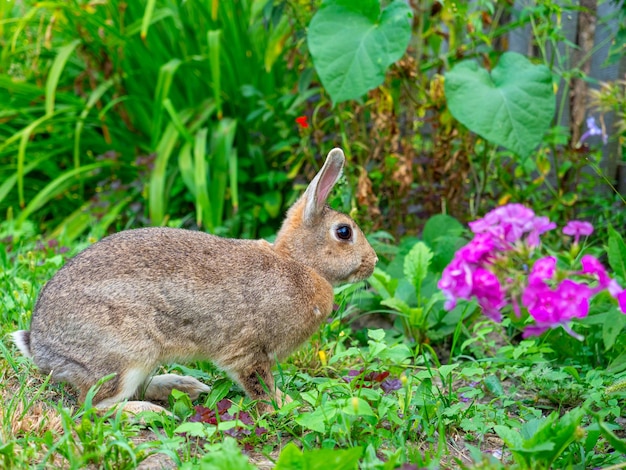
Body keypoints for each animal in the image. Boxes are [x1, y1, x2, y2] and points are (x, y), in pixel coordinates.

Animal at [12, 148, 376, 414]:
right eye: (344, 232)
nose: (372, 262)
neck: (299, 263)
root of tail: (41, 347)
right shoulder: (248, 352)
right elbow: (260, 385)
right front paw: (285, 407)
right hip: (125, 354)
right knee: (94, 407)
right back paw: (150, 412)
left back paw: (184, 386)